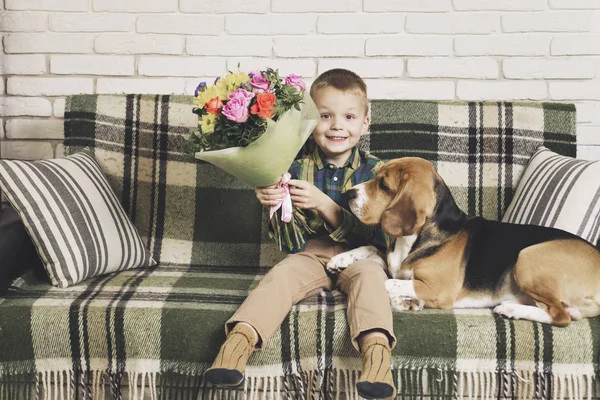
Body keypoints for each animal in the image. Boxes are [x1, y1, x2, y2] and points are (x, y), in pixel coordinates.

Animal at [328, 156, 600, 324]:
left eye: (384, 186)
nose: (347, 194)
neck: (412, 239)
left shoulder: (438, 288)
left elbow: (388, 281)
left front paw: (405, 299)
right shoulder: (393, 262)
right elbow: (372, 250)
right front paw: (340, 259)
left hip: (528, 257)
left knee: (561, 316)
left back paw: (510, 309)